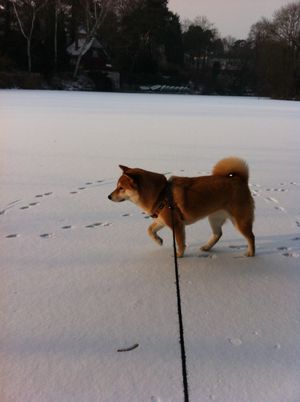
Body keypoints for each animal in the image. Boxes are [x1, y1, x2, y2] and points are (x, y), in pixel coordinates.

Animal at [108, 157, 253, 258]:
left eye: (121, 188)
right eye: (117, 186)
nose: (108, 196)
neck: (161, 194)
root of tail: (240, 180)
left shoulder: (176, 224)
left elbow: (180, 242)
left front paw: (179, 255)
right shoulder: (161, 220)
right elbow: (149, 230)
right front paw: (158, 241)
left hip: (240, 221)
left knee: (251, 237)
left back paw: (250, 254)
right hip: (214, 218)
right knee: (218, 234)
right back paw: (206, 247)